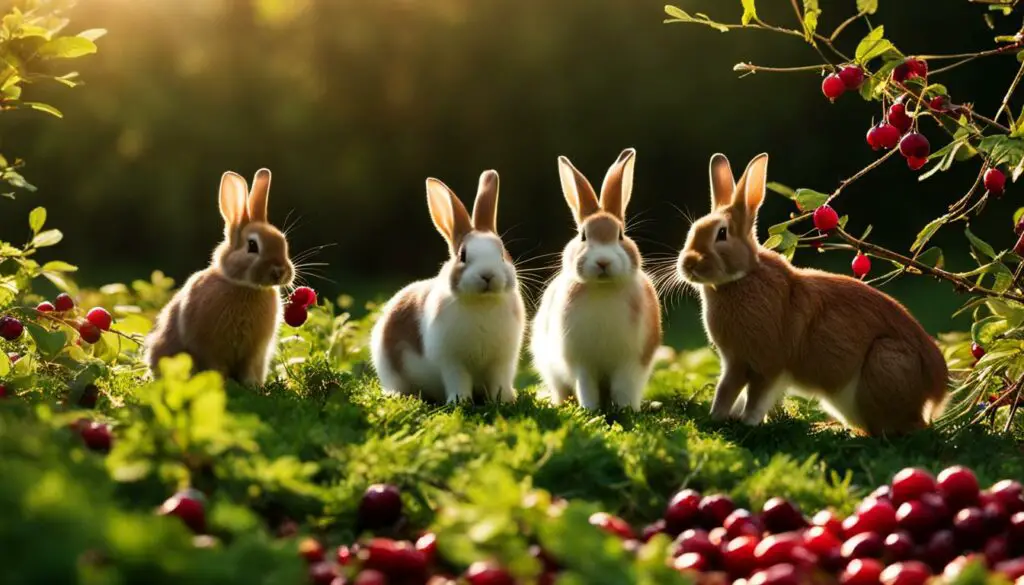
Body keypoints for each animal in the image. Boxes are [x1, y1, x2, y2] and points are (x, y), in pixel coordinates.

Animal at [142, 169, 292, 387]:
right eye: (252, 246)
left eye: (283, 242)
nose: (280, 271)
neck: (245, 287)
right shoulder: (209, 348)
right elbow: (216, 367)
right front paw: (220, 384)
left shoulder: (254, 352)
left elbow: (248, 369)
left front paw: (253, 386)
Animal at [370, 169, 528, 405]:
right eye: (463, 255)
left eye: (502, 254)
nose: (487, 275)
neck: (482, 303)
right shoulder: (452, 362)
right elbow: (458, 380)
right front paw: (459, 401)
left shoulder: (501, 362)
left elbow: (499, 381)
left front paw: (506, 400)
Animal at [528, 148, 663, 409]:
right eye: (583, 236)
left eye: (621, 235)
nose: (603, 262)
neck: (603, 288)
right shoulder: (582, 364)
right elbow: (586, 388)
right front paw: (590, 410)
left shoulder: (631, 364)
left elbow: (624, 389)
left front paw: (626, 410)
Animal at [675, 153, 946, 436]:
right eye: (693, 230)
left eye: (722, 234)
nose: (688, 264)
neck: (743, 277)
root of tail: (936, 390)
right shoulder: (736, 362)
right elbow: (728, 390)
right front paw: (720, 418)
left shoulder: (766, 363)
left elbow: (752, 396)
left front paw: (744, 422)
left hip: (884, 364)